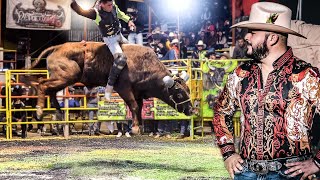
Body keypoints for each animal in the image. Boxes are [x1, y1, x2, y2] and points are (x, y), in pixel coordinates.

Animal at [24, 41, 192, 133]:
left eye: (188, 91)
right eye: (179, 94)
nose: (191, 110)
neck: (144, 65)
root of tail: (57, 47)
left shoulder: (138, 92)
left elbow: (138, 107)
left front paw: (139, 125)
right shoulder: (124, 88)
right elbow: (134, 106)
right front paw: (135, 128)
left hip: (64, 78)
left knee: (50, 89)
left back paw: (58, 110)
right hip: (67, 75)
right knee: (42, 84)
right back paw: (39, 110)